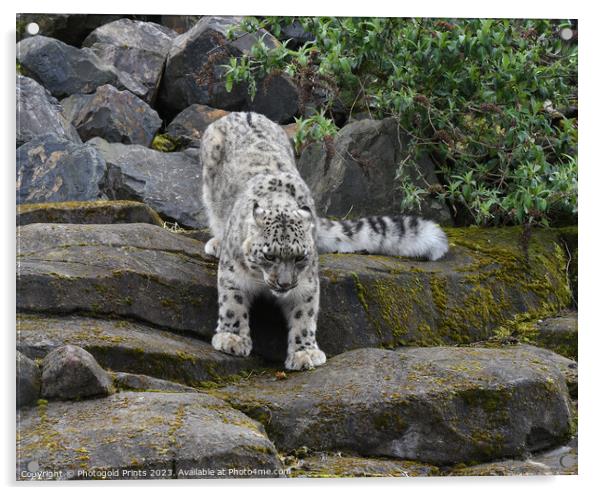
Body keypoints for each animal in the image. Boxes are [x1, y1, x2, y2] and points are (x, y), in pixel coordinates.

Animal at [199, 111, 448, 368]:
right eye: (269, 256)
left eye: (299, 257)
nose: (284, 284)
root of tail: (245, 113)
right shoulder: (233, 273)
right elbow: (233, 304)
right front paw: (232, 338)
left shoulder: (307, 283)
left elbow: (304, 315)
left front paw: (305, 352)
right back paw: (217, 242)